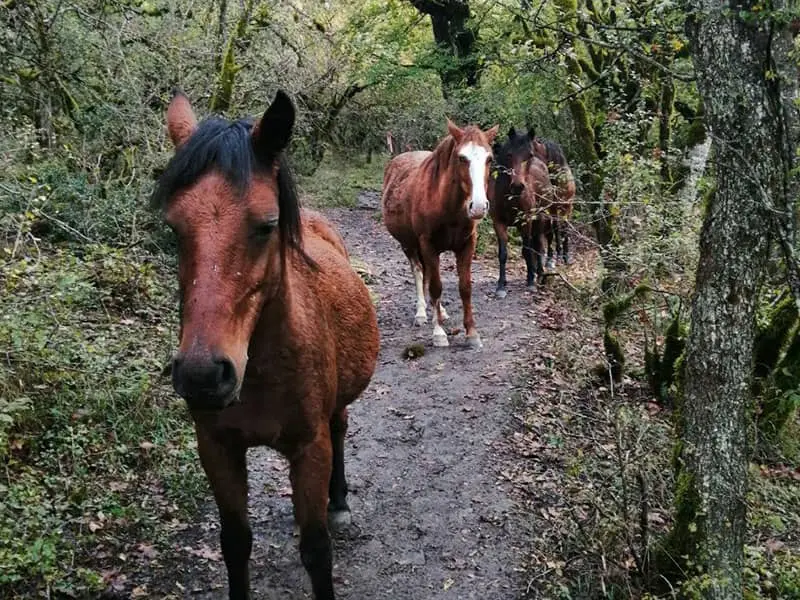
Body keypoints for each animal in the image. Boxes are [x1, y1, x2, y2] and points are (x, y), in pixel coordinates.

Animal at [155, 90, 382, 600]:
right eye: (174, 229)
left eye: (266, 224)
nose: (202, 374)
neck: (263, 368)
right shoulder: (216, 448)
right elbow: (235, 543)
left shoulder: (310, 448)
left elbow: (316, 550)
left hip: (335, 412)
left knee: (340, 429)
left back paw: (339, 502)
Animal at [378, 118, 496, 346]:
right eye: (462, 158)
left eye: (489, 159)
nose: (478, 207)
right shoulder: (427, 245)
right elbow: (435, 286)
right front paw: (439, 333)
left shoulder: (467, 245)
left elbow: (464, 287)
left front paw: (471, 333)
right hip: (409, 245)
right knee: (418, 272)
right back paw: (422, 313)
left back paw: (440, 312)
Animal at [488, 127, 556, 296]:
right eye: (509, 154)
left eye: (529, 155)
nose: (518, 186)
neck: (509, 197)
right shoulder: (498, 223)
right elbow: (503, 253)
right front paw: (501, 285)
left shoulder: (526, 221)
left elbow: (527, 250)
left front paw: (531, 281)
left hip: (541, 219)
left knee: (538, 246)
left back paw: (539, 273)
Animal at [532, 132, 576, 266]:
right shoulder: (550, 209)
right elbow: (552, 231)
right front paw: (551, 259)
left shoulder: (568, 207)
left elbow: (565, 229)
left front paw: (566, 257)